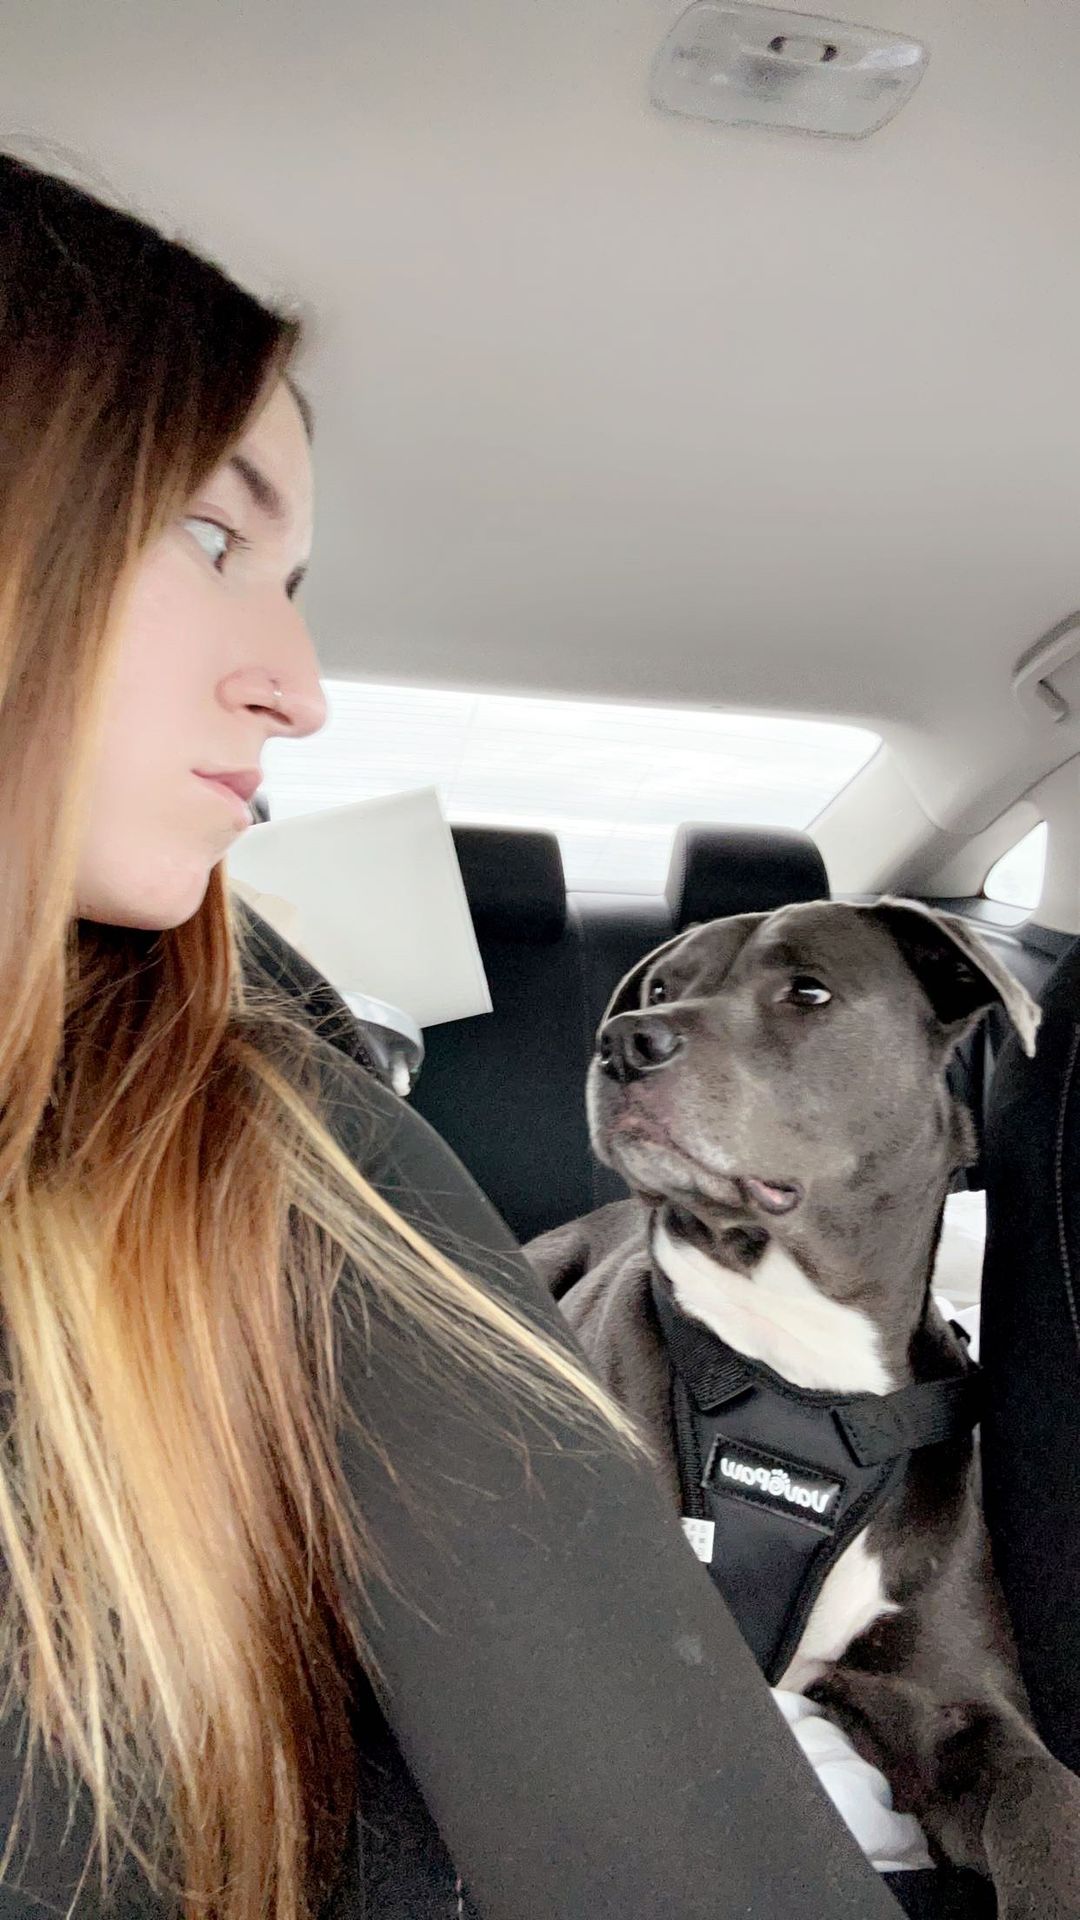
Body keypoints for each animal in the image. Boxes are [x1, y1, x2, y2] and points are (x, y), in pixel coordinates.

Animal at [526, 898, 1076, 1920]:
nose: (623, 1041)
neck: (800, 1370)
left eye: (809, 992)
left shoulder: (955, 1711)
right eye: (661, 984)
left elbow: (1045, 1809)